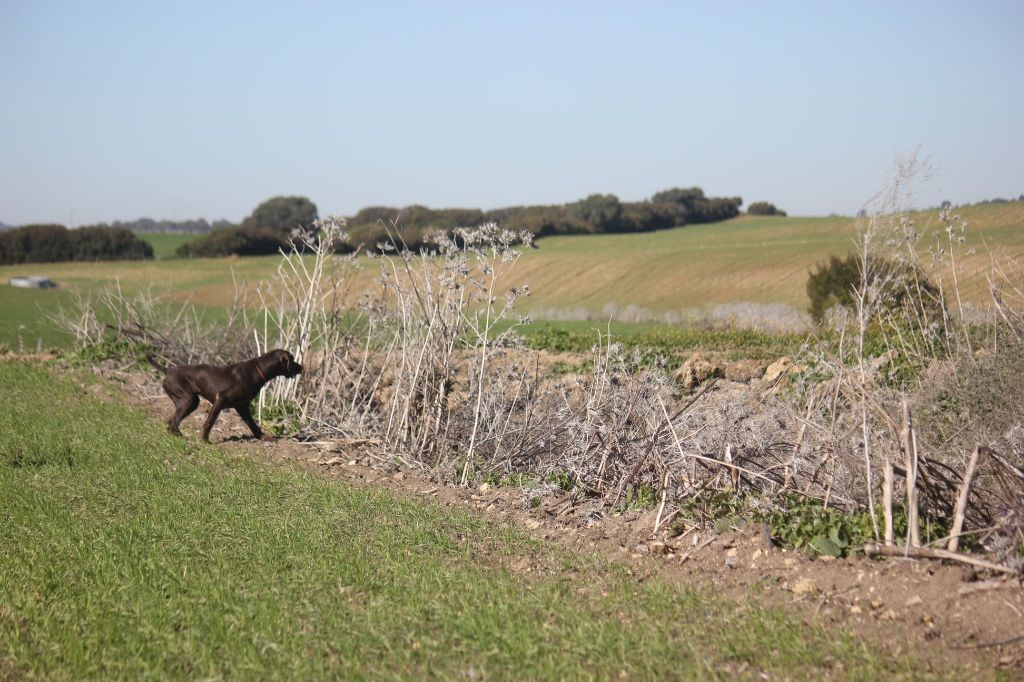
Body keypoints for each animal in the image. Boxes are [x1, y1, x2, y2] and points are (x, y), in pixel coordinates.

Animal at [153, 350, 301, 440]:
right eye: (292, 359)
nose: (302, 367)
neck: (257, 371)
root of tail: (168, 370)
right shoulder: (220, 400)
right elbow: (209, 422)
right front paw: (204, 440)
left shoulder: (242, 407)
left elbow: (253, 425)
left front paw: (264, 437)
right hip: (187, 400)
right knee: (173, 422)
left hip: (190, 402)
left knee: (171, 422)